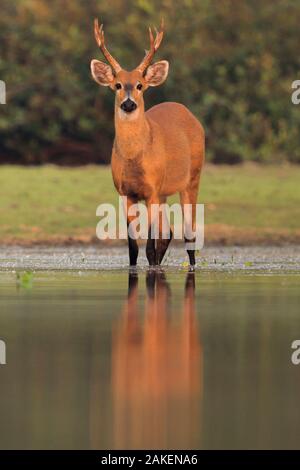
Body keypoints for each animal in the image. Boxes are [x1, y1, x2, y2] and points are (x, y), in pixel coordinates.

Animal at [91, 18, 204, 266]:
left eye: (140, 85)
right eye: (117, 85)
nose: (129, 104)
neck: (134, 160)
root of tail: (189, 113)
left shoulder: (152, 190)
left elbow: (150, 245)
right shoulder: (125, 193)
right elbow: (133, 247)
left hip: (192, 178)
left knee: (188, 233)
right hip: (164, 192)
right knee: (168, 233)